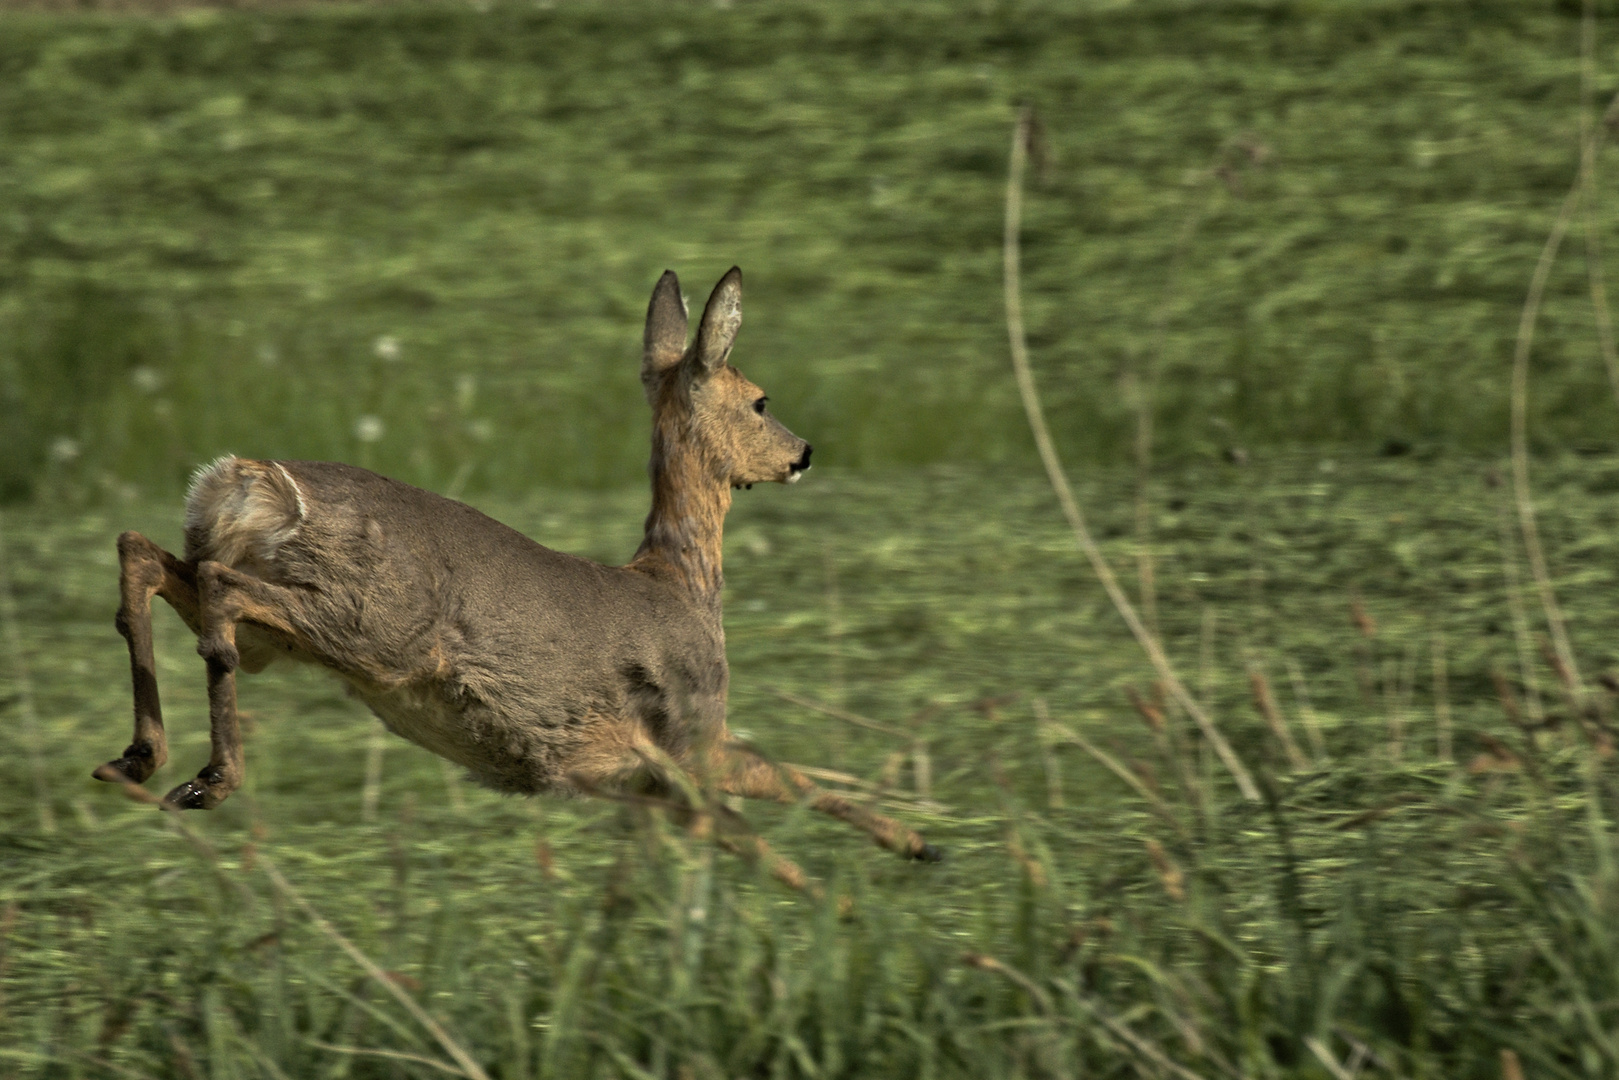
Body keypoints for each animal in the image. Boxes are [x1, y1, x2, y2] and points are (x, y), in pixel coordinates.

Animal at [94, 270, 945, 867]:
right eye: (761, 400)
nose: (805, 452)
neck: (681, 584)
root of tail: (248, 482)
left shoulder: (633, 774)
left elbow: (768, 798)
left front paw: (916, 848)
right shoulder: (692, 729)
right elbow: (772, 808)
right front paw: (859, 887)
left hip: (287, 631)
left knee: (146, 554)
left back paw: (137, 760)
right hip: (377, 628)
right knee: (218, 592)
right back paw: (208, 778)